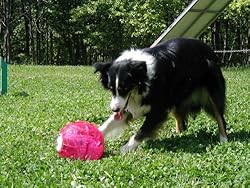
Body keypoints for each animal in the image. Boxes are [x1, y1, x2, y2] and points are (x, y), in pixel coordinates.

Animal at [94, 37, 228, 153]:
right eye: (111, 89)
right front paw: (94, 133)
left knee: (219, 115)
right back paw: (180, 133)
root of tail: (210, 49)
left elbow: (143, 130)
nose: (114, 109)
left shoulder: (158, 107)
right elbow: (109, 123)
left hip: (212, 86)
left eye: (125, 88)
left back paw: (223, 139)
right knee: (180, 117)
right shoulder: (129, 105)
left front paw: (126, 148)